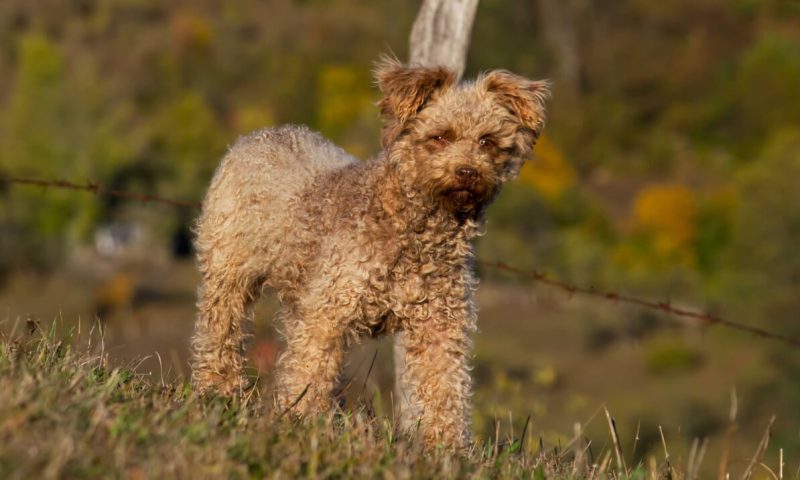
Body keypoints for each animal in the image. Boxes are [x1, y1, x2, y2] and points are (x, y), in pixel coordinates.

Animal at [192, 59, 552, 450]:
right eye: (439, 137)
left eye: (487, 141)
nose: (468, 172)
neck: (413, 229)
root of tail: (261, 135)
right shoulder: (328, 311)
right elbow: (310, 369)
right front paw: (303, 425)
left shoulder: (441, 323)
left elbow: (446, 387)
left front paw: (447, 448)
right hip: (229, 274)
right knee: (219, 333)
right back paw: (218, 391)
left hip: (298, 295)